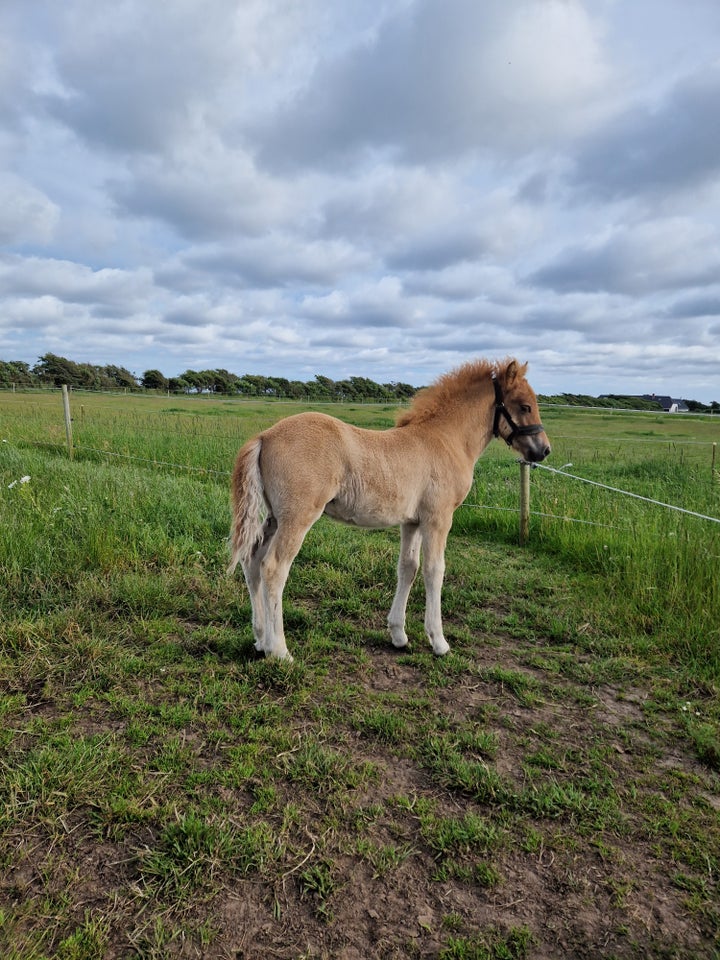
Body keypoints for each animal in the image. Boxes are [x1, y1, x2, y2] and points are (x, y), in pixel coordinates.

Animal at [229, 356, 552, 664]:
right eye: (524, 406)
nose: (544, 450)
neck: (445, 440)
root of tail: (264, 436)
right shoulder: (438, 519)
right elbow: (435, 570)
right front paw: (439, 642)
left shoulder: (412, 522)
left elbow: (408, 568)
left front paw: (399, 635)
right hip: (297, 518)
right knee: (274, 567)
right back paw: (279, 650)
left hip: (274, 518)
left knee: (252, 560)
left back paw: (260, 639)